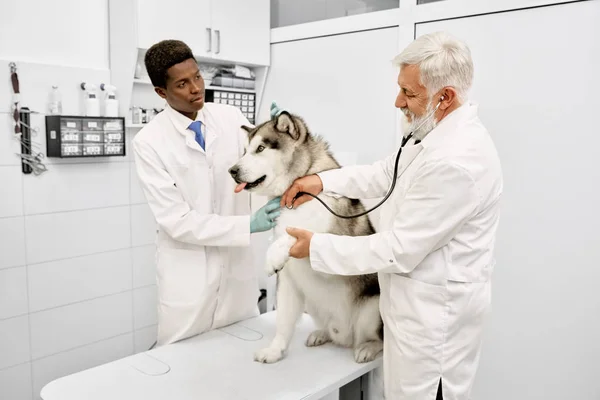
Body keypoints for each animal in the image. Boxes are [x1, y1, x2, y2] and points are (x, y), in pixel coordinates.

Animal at [227, 111, 382, 364]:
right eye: (245, 151)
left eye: (260, 148)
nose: (232, 170)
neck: (298, 192)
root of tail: (347, 338)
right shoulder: (288, 282)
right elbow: (283, 322)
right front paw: (275, 351)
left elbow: (299, 236)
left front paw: (273, 256)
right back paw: (322, 334)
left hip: (374, 306)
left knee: (379, 338)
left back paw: (368, 347)